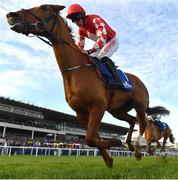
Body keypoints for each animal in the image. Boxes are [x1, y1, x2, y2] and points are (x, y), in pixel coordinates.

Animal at [5, 4, 167, 167]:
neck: (76, 70)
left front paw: (114, 142)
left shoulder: (98, 106)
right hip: (117, 110)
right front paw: (109, 158)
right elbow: (92, 137)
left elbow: (90, 138)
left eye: (44, 8)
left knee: (143, 124)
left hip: (139, 105)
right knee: (132, 120)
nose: (12, 15)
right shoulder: (82, 113)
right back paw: (129, 144)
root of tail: (141, 82)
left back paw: (141, 150)